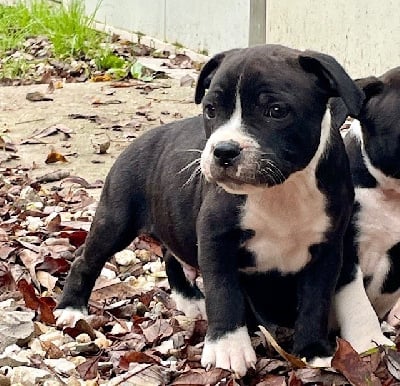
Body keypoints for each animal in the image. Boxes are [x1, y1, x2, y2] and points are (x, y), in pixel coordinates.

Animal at [54, 44, 390, 374]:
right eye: (211, 110)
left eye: (276, 111)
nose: (224, 150)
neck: (280, 190)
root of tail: (142, 139)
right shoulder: (217, 240)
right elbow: (224, 293)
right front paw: (229, 348)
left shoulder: (327, 249)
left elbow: (315, 300)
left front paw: (313, 351)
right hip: (116, 218)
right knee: (86, 259)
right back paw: (71, 309)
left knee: (170, 255)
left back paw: (190, 300)